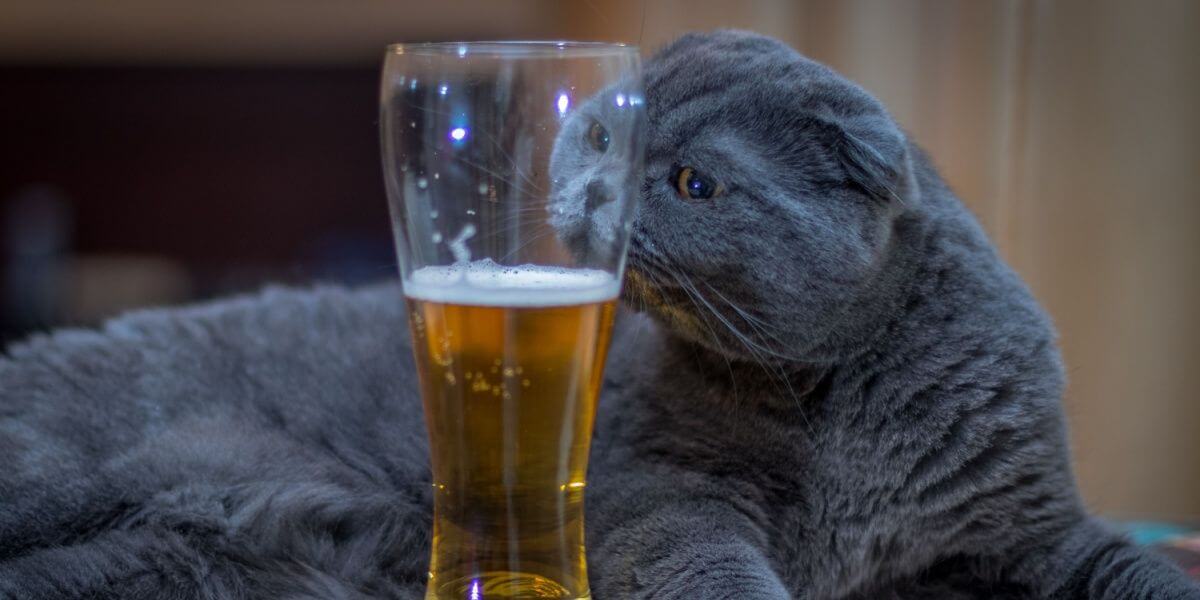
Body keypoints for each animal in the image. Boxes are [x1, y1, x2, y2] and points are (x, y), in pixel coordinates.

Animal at [2, 30, 1200, 600]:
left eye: (691, 183)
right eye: (597, 136)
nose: (588, 195)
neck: (848, 407)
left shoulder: (1025, 525)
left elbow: (1132, 566)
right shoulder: (660, 493)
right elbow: (715, 572)